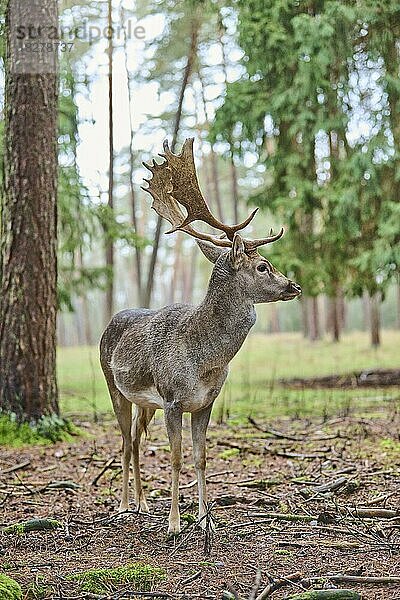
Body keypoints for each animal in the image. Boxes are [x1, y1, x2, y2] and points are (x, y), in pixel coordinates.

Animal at [99, 137, 300, 536]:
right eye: (263, 266)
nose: (294, 286)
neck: (204, 360)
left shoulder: (206, 401)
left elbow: (201, 457)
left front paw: (207, 520)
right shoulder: (172, 399)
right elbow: (176, 459)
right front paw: (176, 523)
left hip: (145, 402)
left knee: (136, 441)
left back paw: (143, 503)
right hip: (115, 387)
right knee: (125, 442)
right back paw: (125, 505)